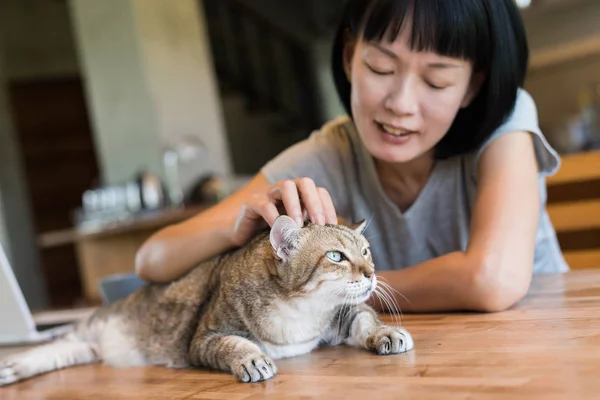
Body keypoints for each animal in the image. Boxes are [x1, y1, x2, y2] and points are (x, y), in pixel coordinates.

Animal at [0, 216, 412, 384]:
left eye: (366, 251)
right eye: (337, 256)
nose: (371, 272)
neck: (300, 310)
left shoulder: (342, 315)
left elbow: (365, 318)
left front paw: (387, 333)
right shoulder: (204, 336)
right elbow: (233, 344)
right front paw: (251, 359)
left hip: (89, 349)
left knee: (69, 349)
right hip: (91, 328)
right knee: (59, 340)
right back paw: (14, 365)